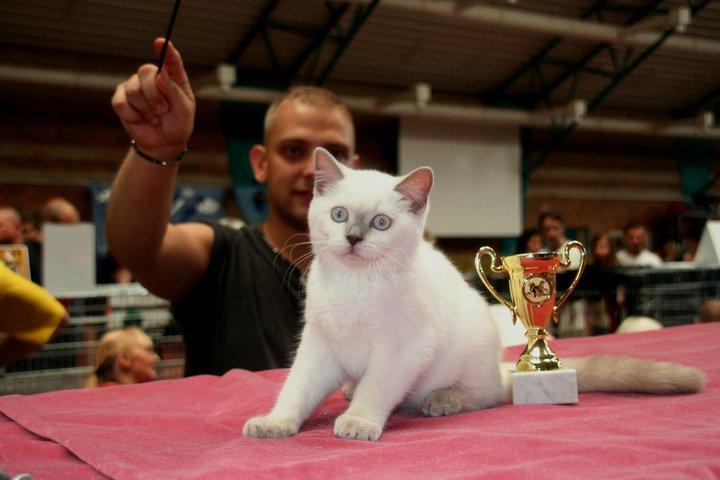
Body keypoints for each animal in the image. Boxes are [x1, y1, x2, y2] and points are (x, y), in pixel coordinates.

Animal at [243, 147, 706, 442]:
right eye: (339, 215)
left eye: (380, 223)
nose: (353, 238)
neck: (355, 285)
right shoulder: (320, 346)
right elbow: (296, 389)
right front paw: (275, 423)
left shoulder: (403, 349)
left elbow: (377, 388)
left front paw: (357, 422)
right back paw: (348, 391)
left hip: (466, 359)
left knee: (487, 394)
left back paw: (441, 400)